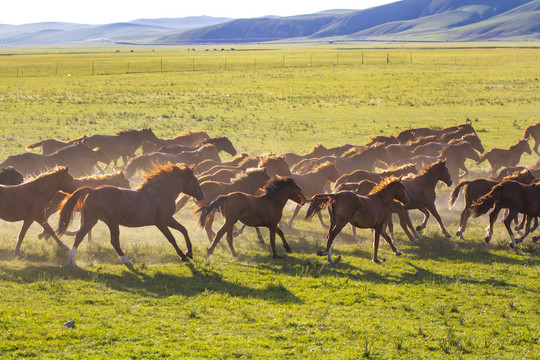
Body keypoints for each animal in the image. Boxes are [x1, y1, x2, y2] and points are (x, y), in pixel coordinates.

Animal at [57, 163, 202, 268]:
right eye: (195, 179)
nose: (202, 195)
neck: (161, 192)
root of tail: (92, 191)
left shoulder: (160, 223)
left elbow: (176, 234)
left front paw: (185, 254)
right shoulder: (164, 220)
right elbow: (178, 233)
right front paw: (187, 254)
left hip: (91, 219)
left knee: (79, 236)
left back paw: (72, 261)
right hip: (112, 222)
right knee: (114, 242)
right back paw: (127, 261)